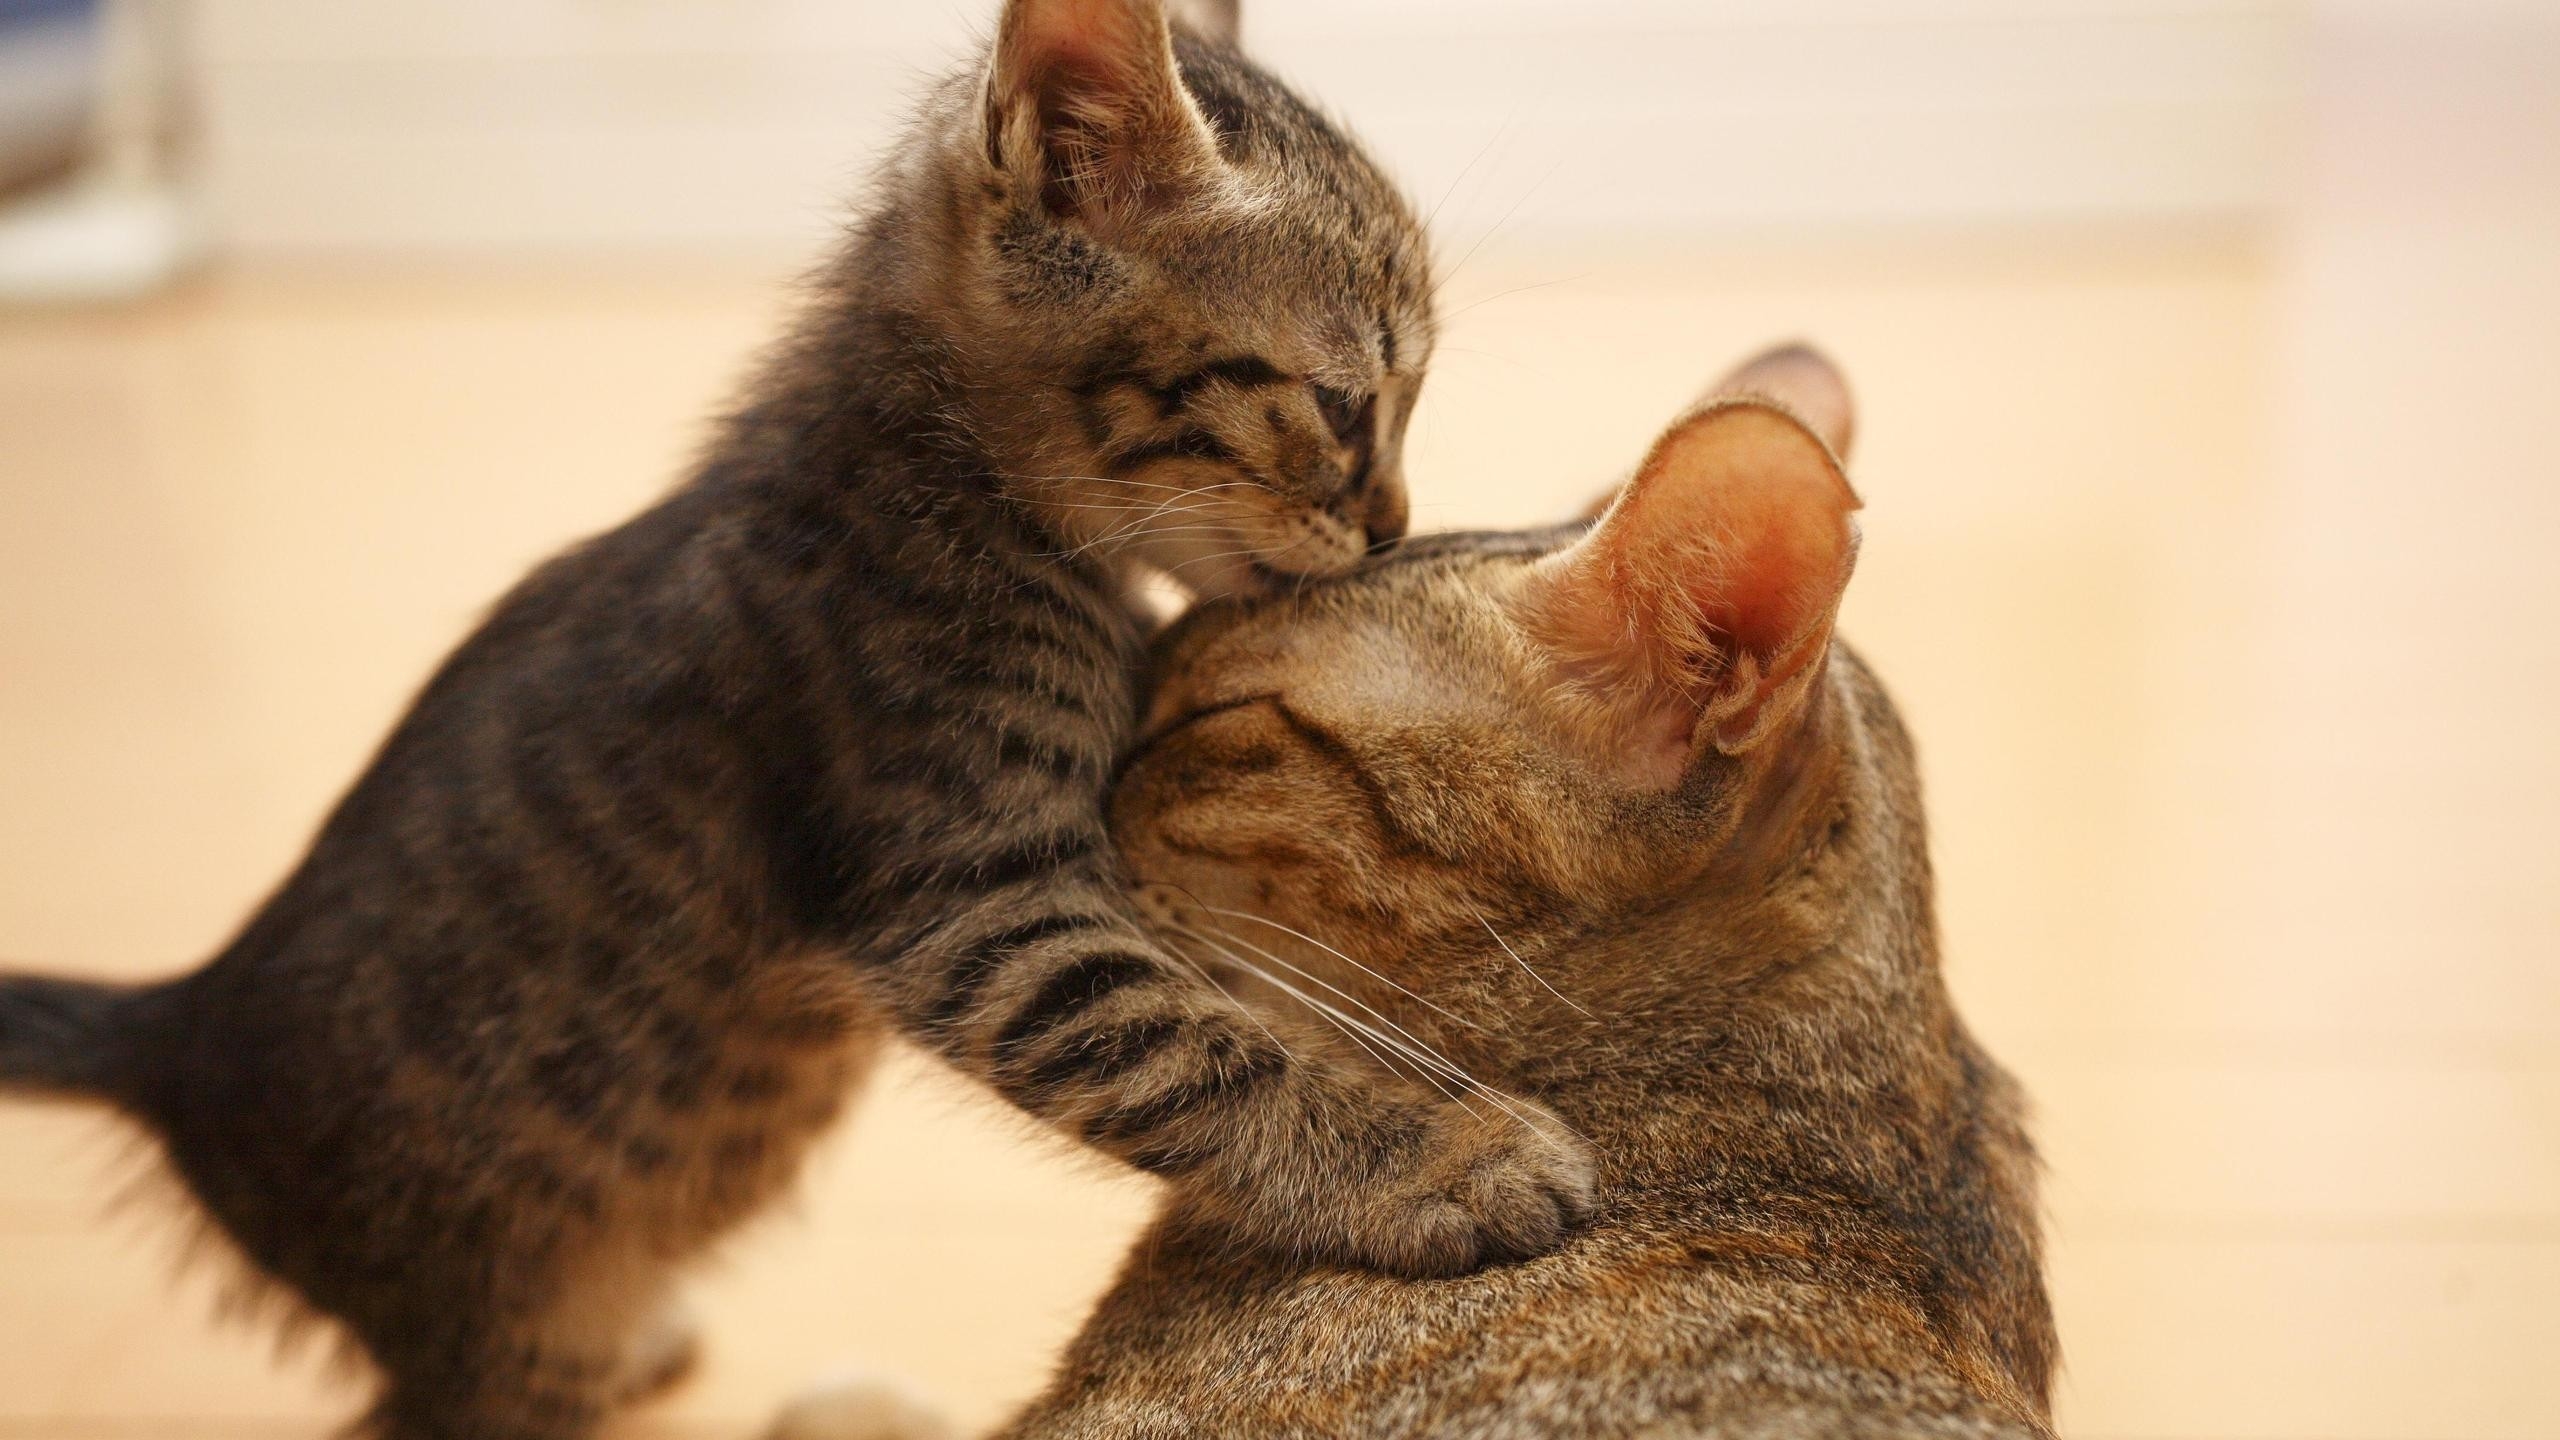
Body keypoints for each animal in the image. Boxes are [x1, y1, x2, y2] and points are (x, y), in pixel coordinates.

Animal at [0, 2, 1597, 1434]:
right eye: (1343, 406)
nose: (1393, 526)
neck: (956, 486)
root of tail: (183, 1027)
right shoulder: (967, 903)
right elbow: (1195, 1049)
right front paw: (1443, 1156)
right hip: (486, 1302)